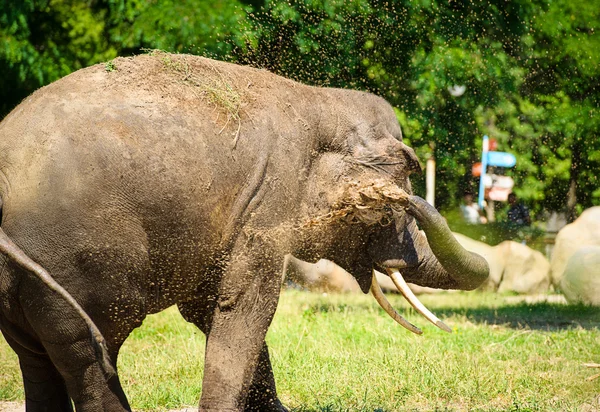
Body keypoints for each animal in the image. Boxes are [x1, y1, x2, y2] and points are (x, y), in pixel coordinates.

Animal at [0, 52, 488, 412]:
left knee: (36, 356)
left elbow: (210, 306)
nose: (408, 198)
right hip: (73, 260)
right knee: (91, 353)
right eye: (398, 188)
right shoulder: (270, 202)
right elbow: (247, 306)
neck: (318, 102)